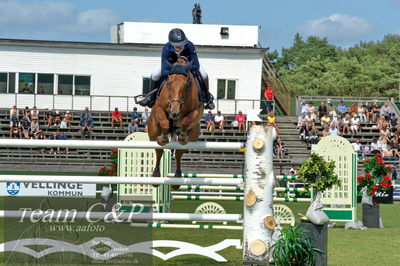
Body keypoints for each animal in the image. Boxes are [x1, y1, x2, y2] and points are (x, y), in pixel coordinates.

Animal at [148, 59, 205, 190]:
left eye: (187, 85)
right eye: (168, 84)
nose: (175, 113)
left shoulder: (196, 110)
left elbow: (186, 120)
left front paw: (183, 136)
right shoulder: (159, 107)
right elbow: (164, 122)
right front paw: (163, 138)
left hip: (193, 136)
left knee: (179, 153)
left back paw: (177, 179)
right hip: (153, 131)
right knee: (158, 151)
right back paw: (155, 176)